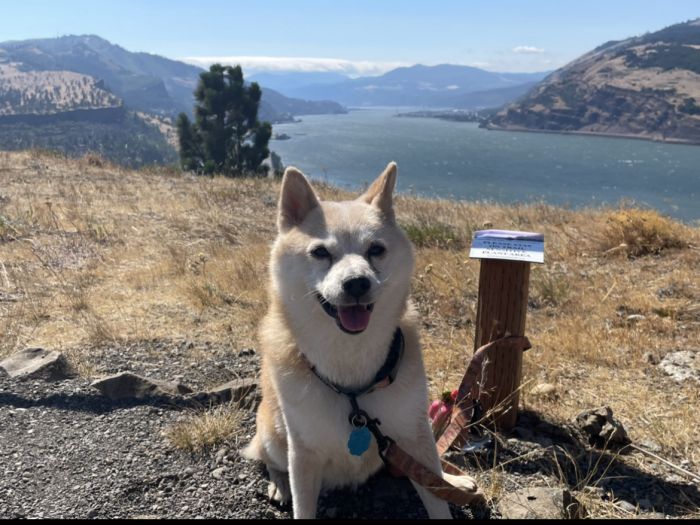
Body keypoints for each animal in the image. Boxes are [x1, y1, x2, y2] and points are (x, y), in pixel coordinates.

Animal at [242, 162, 477, 519]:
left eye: (376, 249)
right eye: (320, 252)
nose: (356, 283)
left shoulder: (414, 432)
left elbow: (435, 492)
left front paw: (447, 488)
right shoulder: (303, 453)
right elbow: (302, 505)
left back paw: (455, 481)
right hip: (271, 433)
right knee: (270, 461)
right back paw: (279, 484)